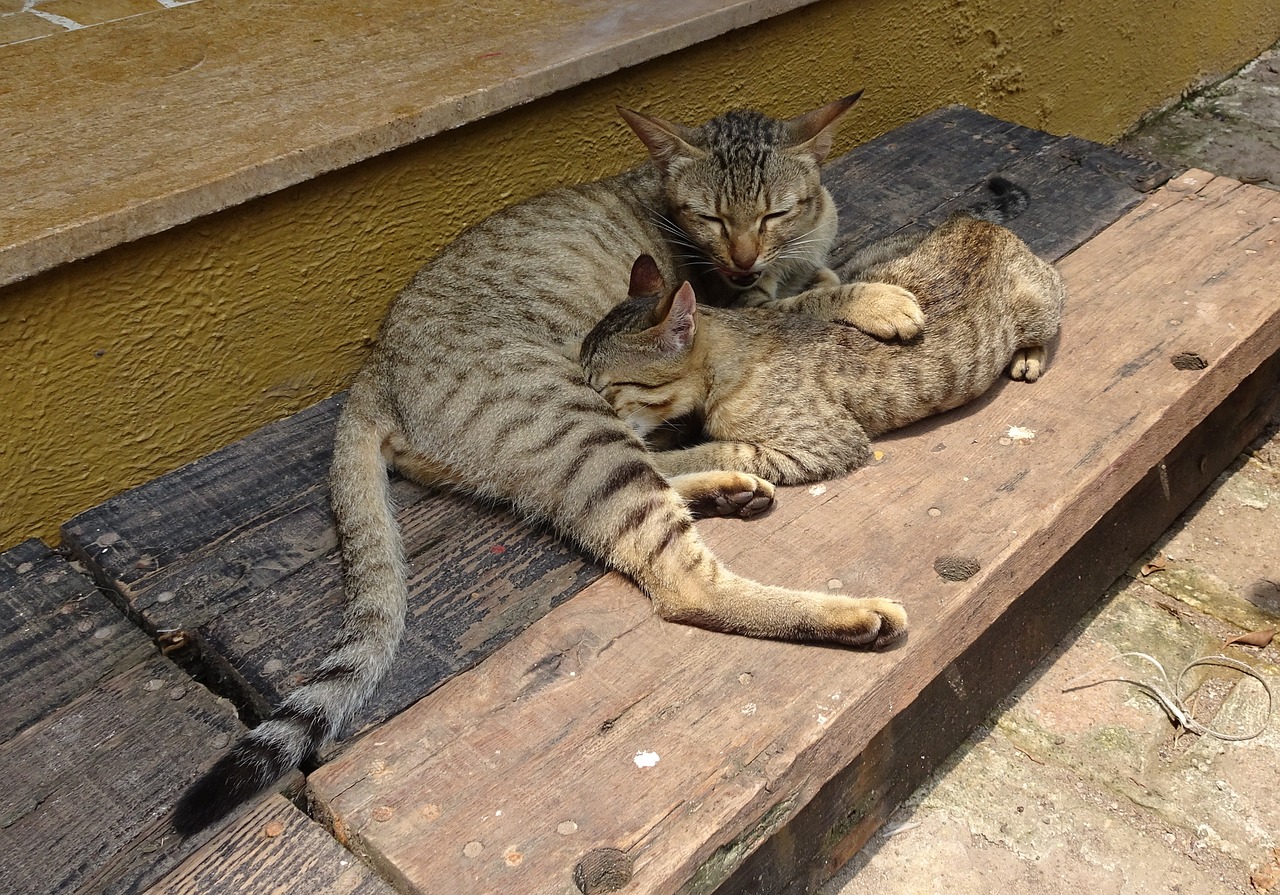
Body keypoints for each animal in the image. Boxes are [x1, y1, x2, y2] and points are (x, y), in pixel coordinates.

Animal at [177, 90, 921, 834]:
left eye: (772, 211)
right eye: (708, 218)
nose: (740, 260)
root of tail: (373, 372)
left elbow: (821, 273)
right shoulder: (733, 303)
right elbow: (805, 298)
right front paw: (877, 298)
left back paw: (728, 489)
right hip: (577, 414)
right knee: (679, 573)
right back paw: (846, 612)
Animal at [581, 181, 1059, 489]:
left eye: (604, 389)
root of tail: (971, 221)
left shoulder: (826, 445)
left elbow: (713, 451)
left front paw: (662, 456)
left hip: (1041, 304)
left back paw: (1029, 355)